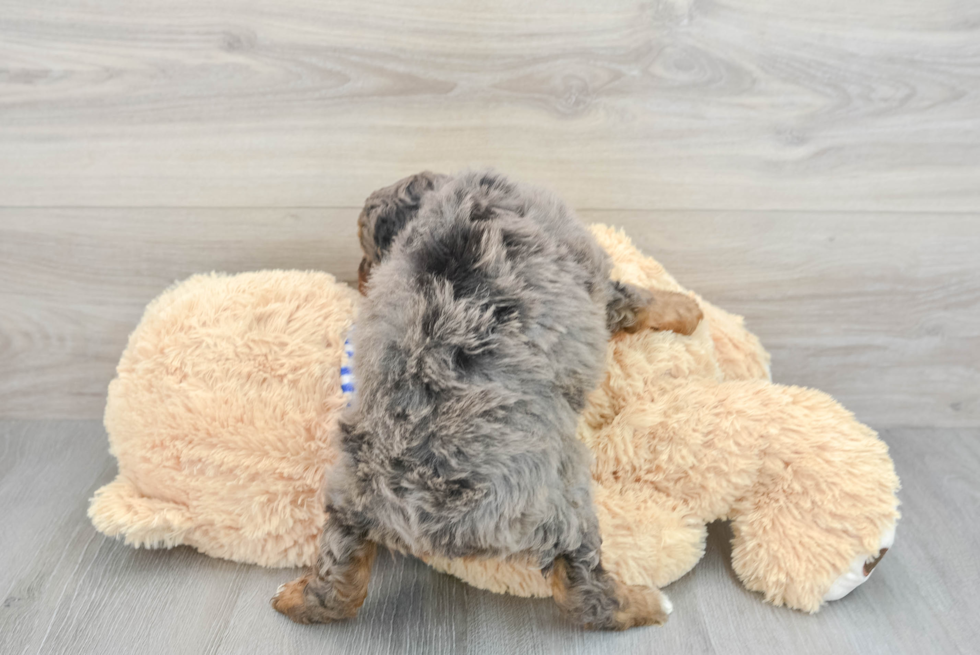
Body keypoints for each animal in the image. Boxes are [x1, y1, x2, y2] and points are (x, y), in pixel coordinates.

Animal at [274, 169, 704, 632]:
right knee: (582, 590)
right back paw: (644, 604)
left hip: (348, 500)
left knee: (337, 589)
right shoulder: (595, 279)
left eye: (367, 251)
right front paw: (687, 308)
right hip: (561, 500)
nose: (360, 277)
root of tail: (428, 509)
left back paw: (294, 598)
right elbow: (638, 299)